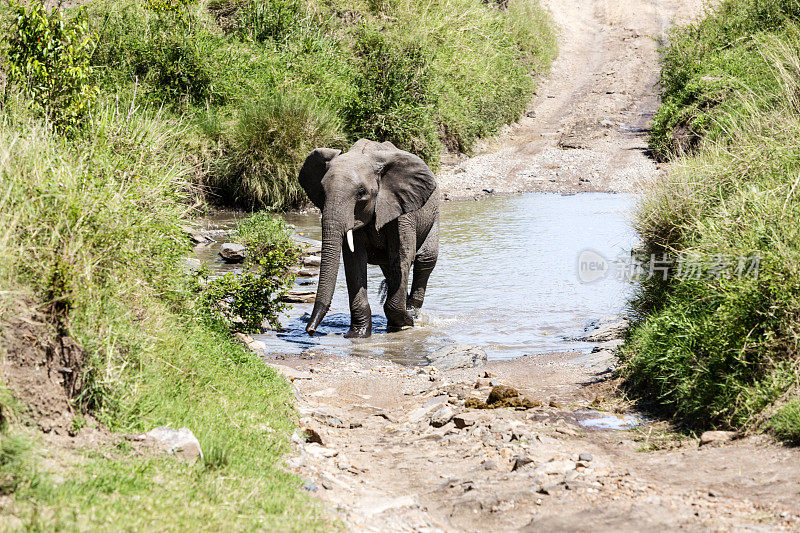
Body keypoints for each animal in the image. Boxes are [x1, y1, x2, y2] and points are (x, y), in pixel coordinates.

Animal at [298, 137, 440, 336]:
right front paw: (358, 334)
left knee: (425, 260)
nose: (310, 330)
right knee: (390, 269)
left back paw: (413, 313)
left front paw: (407, 322)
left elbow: (403, 256)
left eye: (361, 193)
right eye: (322, 192)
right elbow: (354, 260)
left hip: (433, 215)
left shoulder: (402, 212)